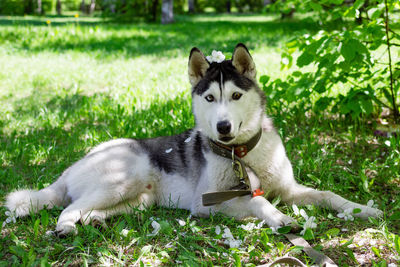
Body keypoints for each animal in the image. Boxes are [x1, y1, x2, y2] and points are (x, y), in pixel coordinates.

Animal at [5, 44, 382, 237]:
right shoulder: (210, 203)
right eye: (210, 98)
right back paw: (68, 226)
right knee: (68, 206)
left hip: (139, 200)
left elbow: (329, 195)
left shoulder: (289, 189)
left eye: (235, 95)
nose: (223, 127)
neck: (242, 155)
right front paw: (279, 218)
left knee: (90, 206)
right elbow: (259, 202)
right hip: (125, 176)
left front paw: (363, 209)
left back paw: (94, 219)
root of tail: (73, 166)